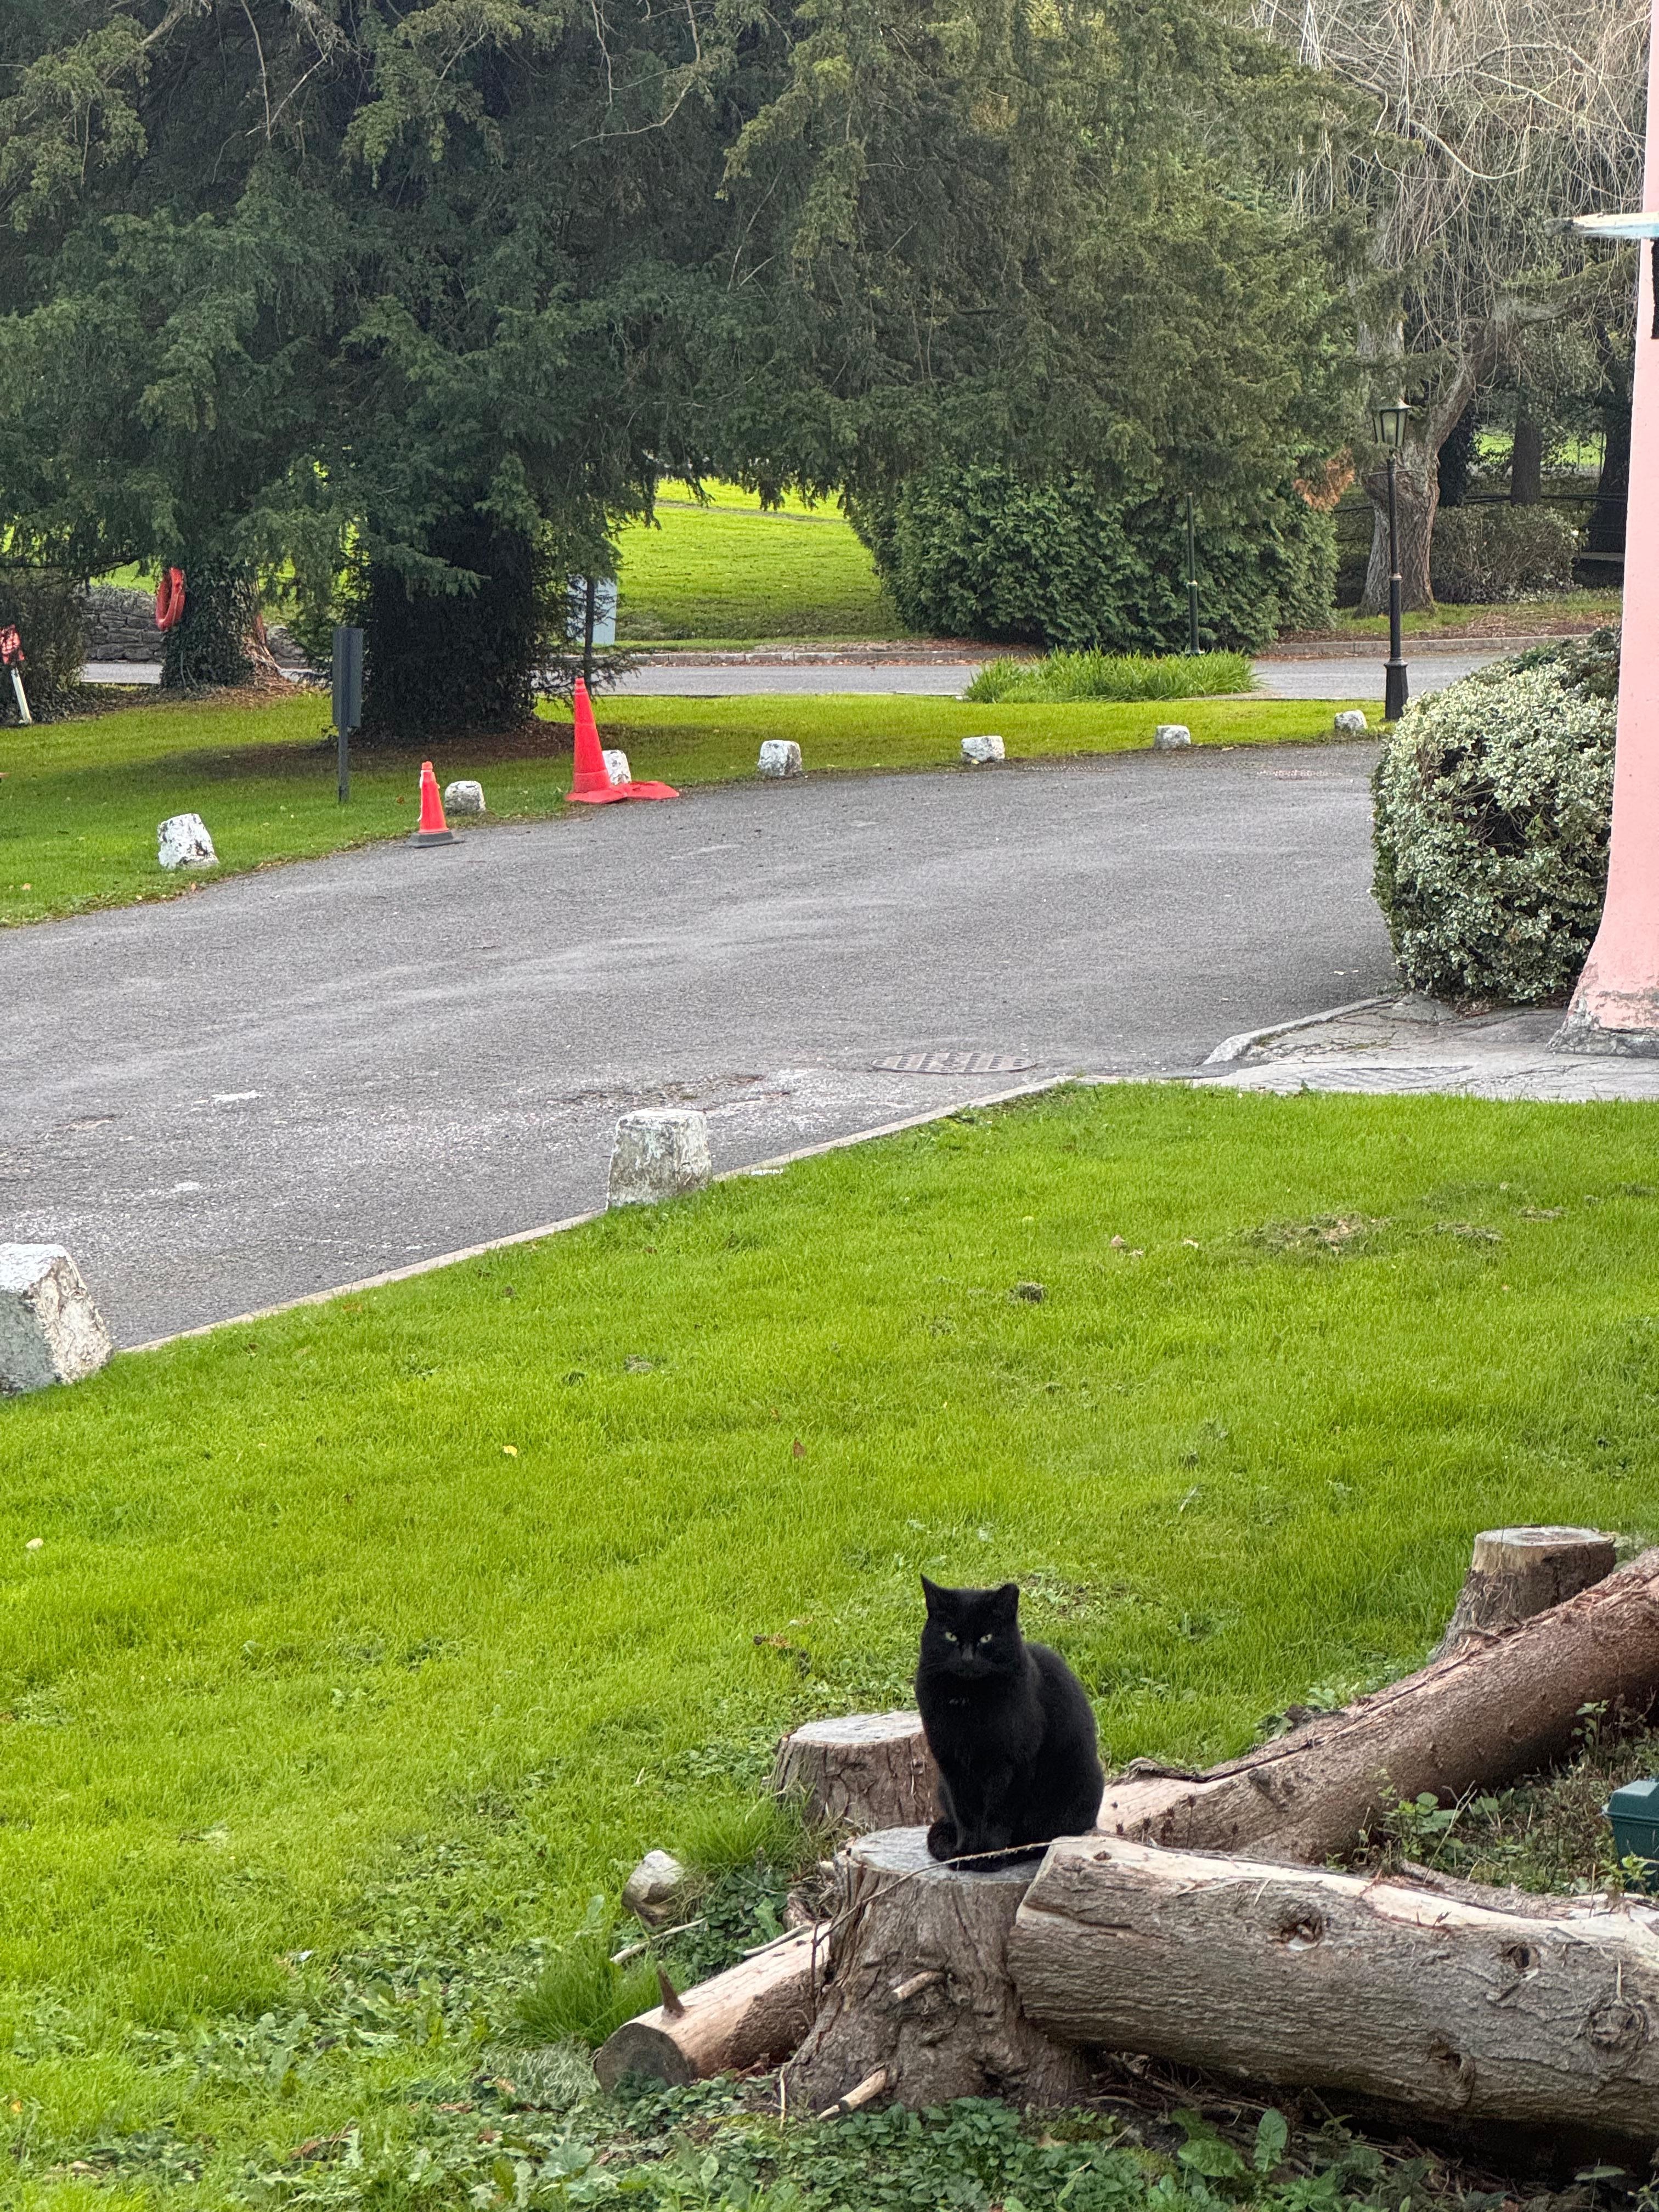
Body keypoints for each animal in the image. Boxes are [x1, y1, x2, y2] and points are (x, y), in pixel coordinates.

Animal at [914, 1576, 1104, 1866]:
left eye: (987, 1637)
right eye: (951, 1635)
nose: (967, 1658)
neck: (969, 1700)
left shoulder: (1013, 1762)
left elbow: (999, 1815)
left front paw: (989, 1856)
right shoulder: (952, 1764)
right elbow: (966, 1814)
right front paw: (967, 1852)